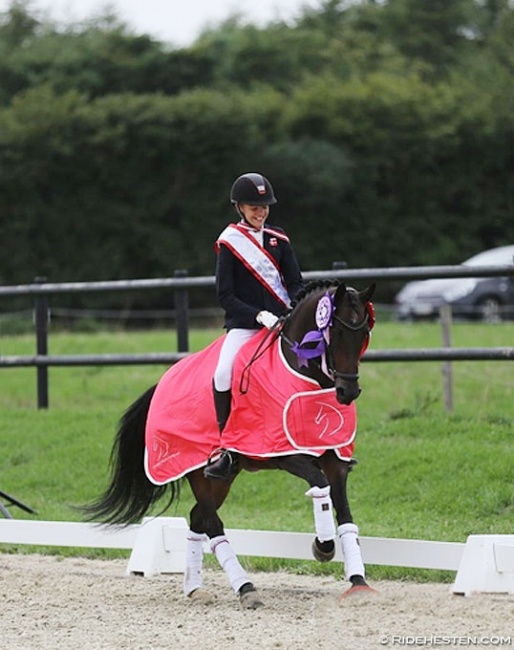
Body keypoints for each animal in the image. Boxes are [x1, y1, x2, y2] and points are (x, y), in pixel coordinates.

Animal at [82, 280, 374, 608]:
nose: (348, 392)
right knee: (211, 522)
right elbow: (319, 484)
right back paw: (246, 588)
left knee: (197, 517)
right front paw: (323, 546)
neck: (302, 375)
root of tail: (162, 382)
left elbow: (345, 514)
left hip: (222, 478)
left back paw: (195, 587)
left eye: (364, 333)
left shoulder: (335, 458)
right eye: (336, 332)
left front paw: (358, 582)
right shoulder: (279, 452)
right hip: (198, 471)